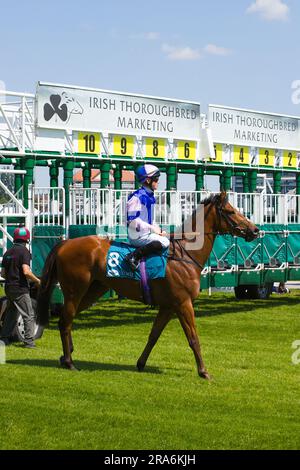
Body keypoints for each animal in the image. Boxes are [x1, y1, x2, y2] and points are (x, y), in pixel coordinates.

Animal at [37, 191, 258, 378]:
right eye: (231, 211)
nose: (255, 230)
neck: (186, 254)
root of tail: (65, 243)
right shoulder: (183, 303)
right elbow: (193, 338)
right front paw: (203, 372)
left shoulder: (168, 306)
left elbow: (153, 335)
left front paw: (141, 363)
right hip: (75, 290)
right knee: (65, 320)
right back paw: (69, 361)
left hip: (93, 290)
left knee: (68, 318)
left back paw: (66, 355)